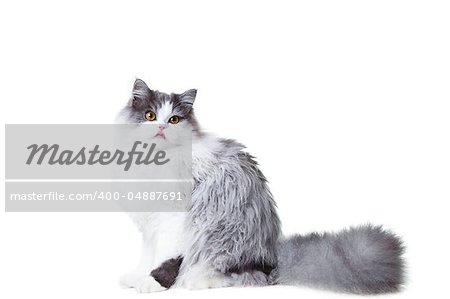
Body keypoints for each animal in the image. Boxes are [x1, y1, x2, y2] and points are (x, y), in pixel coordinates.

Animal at [116, 79, 404, 296]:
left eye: (174, 119)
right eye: (150, 115)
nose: (161, 127)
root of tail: (274, 258)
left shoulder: (173, 221)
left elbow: (164, 258)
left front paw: (152, 283)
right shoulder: (149, 225)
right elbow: (147, 255)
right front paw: (136, 276)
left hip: (224, 237)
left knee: (236, 274)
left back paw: (198, 281)